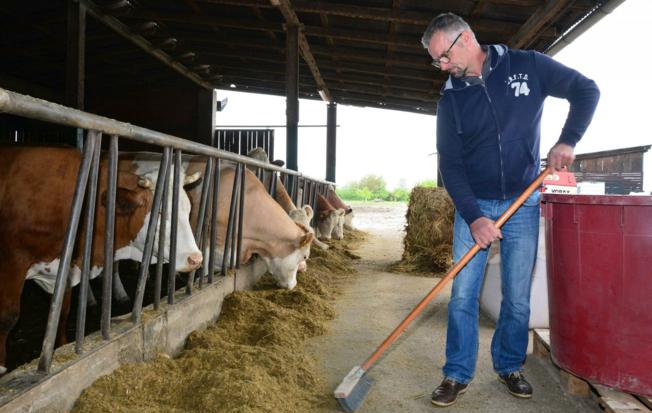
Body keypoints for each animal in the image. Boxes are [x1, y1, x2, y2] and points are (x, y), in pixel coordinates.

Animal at [0, 147, 202, 374]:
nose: (196, 258)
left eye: (188, 210)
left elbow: (61, 313)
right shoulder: (12, 261)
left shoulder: (65, 269)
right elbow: (8, 316)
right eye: (160, 212)